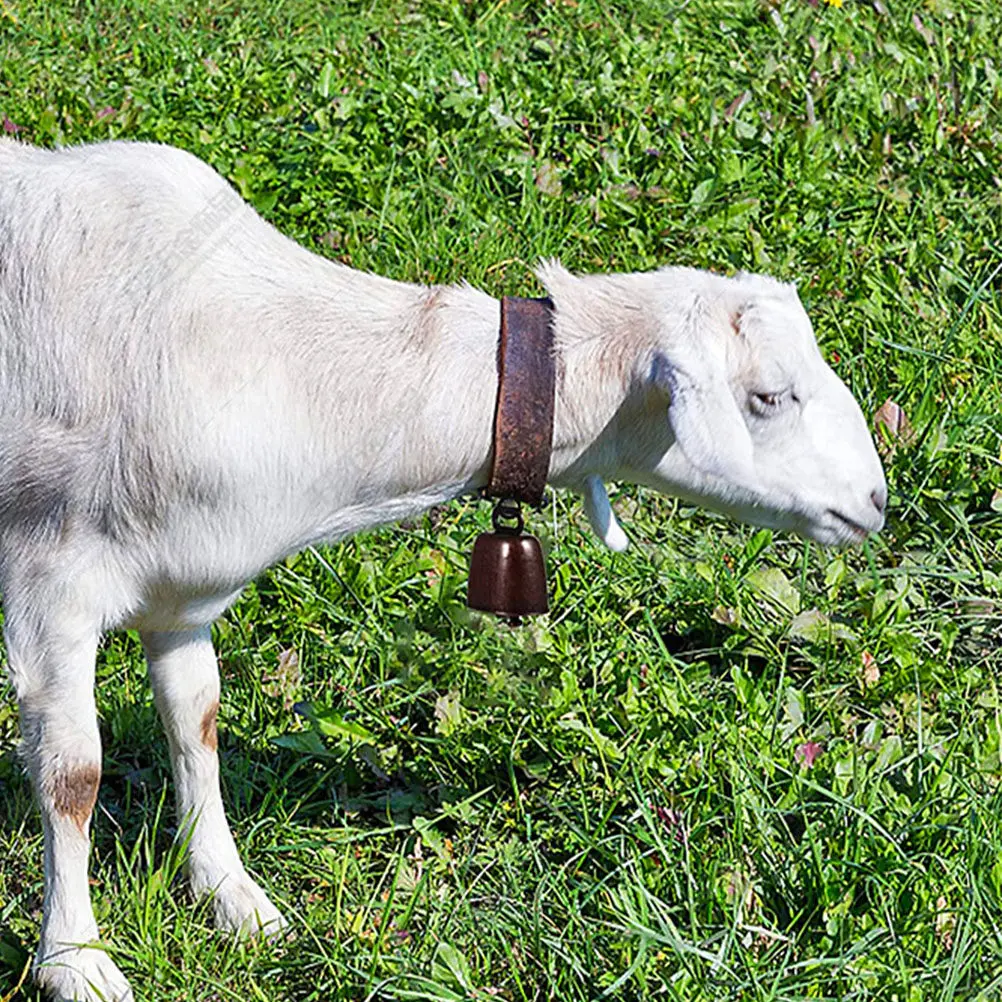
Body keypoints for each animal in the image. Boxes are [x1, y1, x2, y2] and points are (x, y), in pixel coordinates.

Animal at [0, 137, 886, 1002]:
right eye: (769, 397)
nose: (875, 500)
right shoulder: (53, 586)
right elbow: (74, 775)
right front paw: (75, 961)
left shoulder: (183, 593)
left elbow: (198, 723)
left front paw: (232, 896)